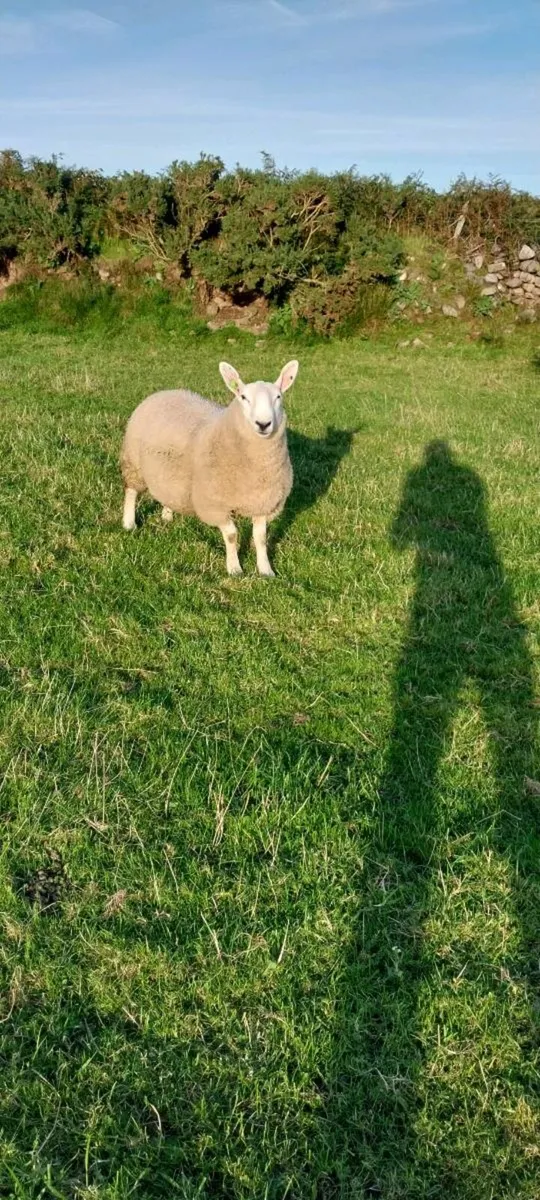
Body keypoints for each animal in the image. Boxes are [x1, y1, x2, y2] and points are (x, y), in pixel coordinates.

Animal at [120, 359, 299, 576]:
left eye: (278, 397)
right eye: (243, 397)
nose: (263, 424)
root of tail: (164, 391)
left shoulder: (263, 502)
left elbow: (261, 538)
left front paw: (265, 570)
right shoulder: (215, 505)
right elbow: (231, 535)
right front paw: (234, 568)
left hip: (169, 473)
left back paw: (167, 515)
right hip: (133, 464)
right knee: (131, 492)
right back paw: (129, 523)